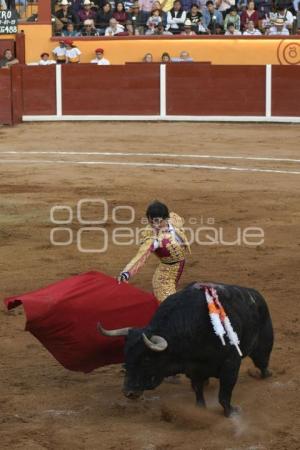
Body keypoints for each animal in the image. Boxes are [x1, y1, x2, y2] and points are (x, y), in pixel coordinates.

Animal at [98, 284, 274, 416]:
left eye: (147, 359)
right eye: (126, 355)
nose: (128, 392)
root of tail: (256, 296)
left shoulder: (230, 364)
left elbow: (224, 394)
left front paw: (231, 412)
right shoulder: (193, 368)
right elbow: (197, 389)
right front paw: (200, 409)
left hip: (264, 344)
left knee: (263, 362)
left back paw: (267, 376)